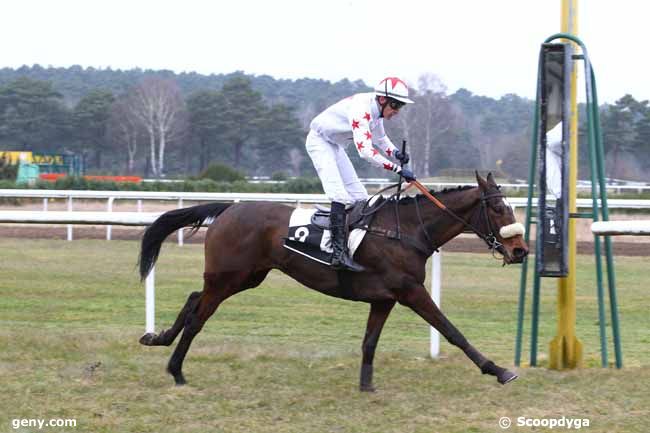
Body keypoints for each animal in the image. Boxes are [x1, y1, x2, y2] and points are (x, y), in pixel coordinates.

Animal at [138, 170, 528, 390]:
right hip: (229, 277)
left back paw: (157, 337)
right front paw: (498, 370)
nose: (521, 250)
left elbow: (369, 342)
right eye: (498, 209)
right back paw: (176, 371)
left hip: (245, 277)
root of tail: (227, 209)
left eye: (512, 207)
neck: (406, 230)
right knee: (198, 316)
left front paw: (366, 385)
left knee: (194, 297)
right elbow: (451, 330)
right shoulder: (410, 290)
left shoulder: (384, 298)